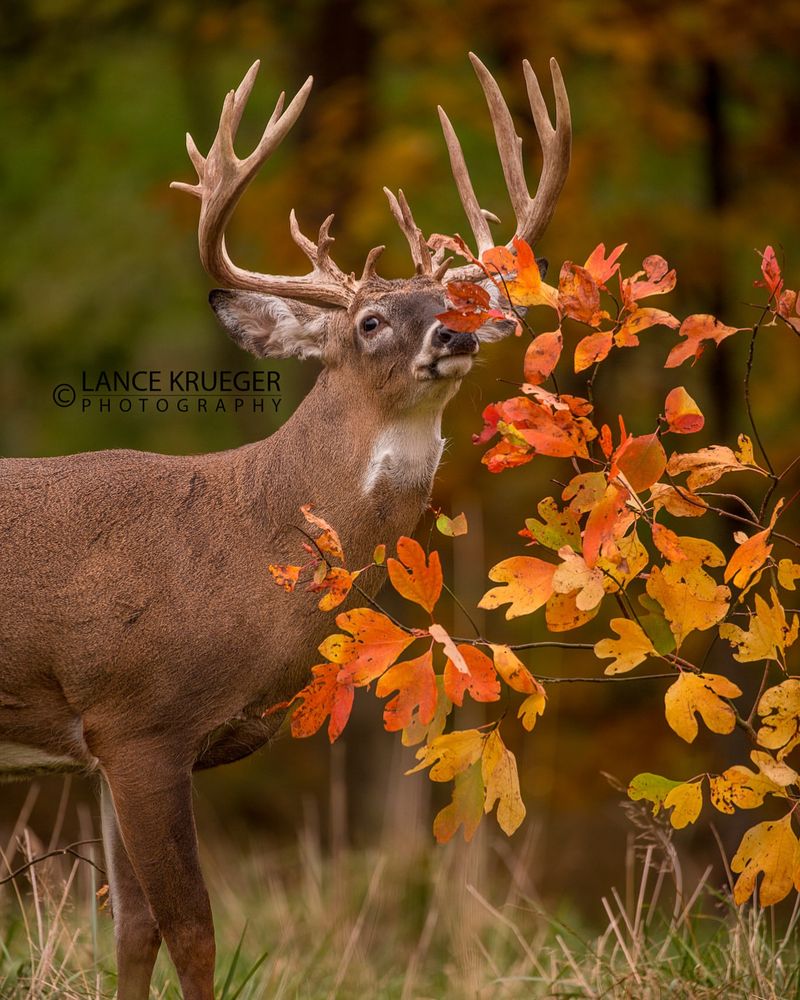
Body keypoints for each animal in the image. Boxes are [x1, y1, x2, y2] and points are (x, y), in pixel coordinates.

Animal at [0, 54, 568, 1000]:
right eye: (370, 321)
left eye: (453, 300)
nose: (455, 335)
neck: (246, 539)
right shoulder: (139, 718)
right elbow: (192, 930)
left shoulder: (113, 746)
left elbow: (131, 930)